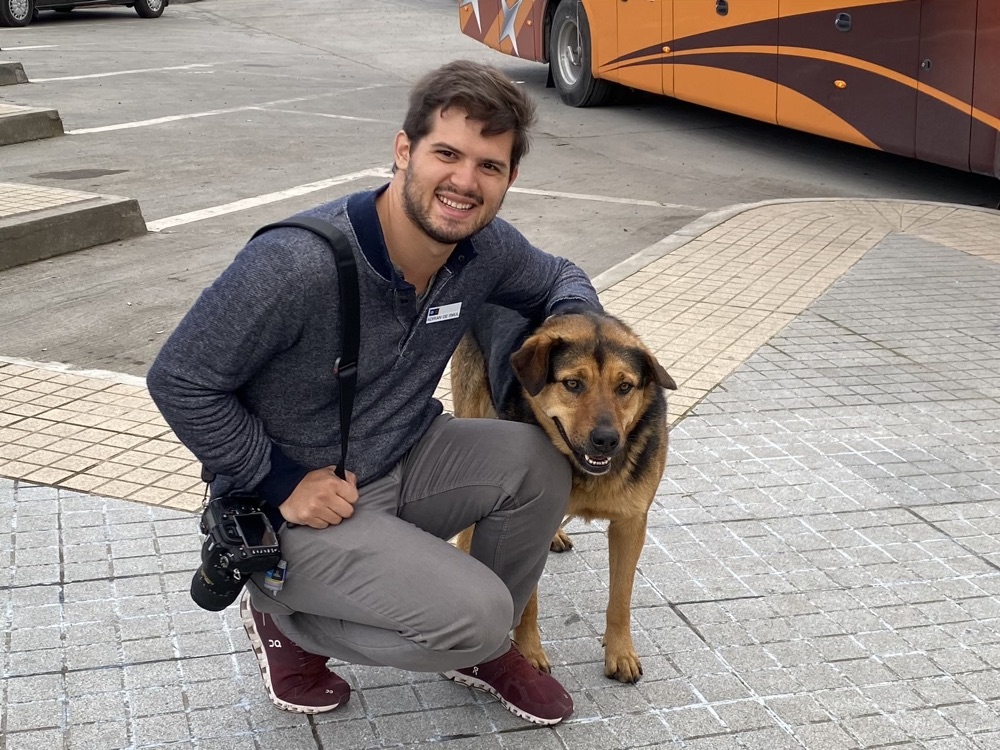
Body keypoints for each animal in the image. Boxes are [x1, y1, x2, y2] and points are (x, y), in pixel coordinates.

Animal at [456, 306, 680, 688]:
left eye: (624, 387)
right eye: (573, 384)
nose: (606, 440)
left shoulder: (631, 523)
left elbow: (621, 598)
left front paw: (620, 652)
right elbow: (529, 603)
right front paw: (529, 654)